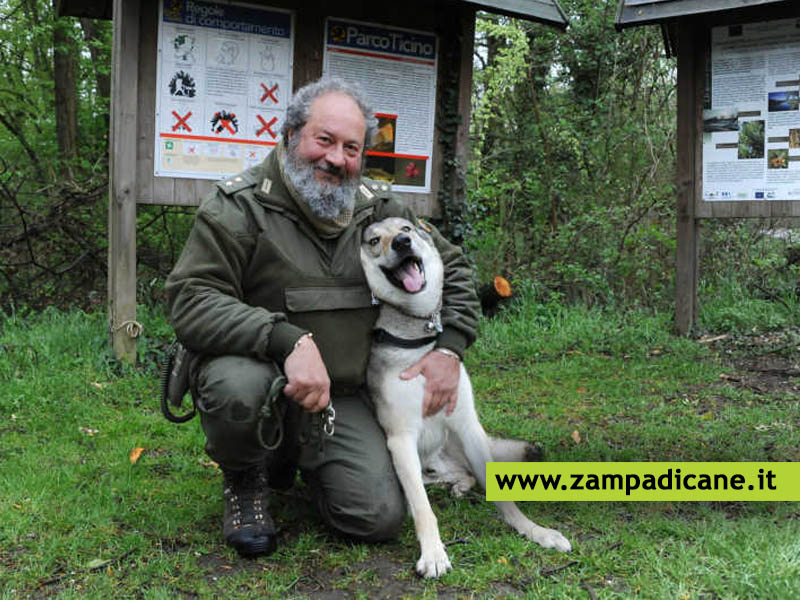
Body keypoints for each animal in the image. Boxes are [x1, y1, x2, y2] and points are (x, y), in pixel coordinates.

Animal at [360, 218, 572, 580]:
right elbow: (423, 507)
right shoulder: (401, 440)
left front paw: (535, 531)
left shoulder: (469, 426)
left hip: (455, 447)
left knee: (465, 472)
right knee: (425, 485)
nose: (402, 243)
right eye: (375, 240)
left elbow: (504, 498)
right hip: (413, 460)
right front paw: (433, 553)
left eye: (405, 229)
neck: (419, 339)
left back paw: (461, 485)